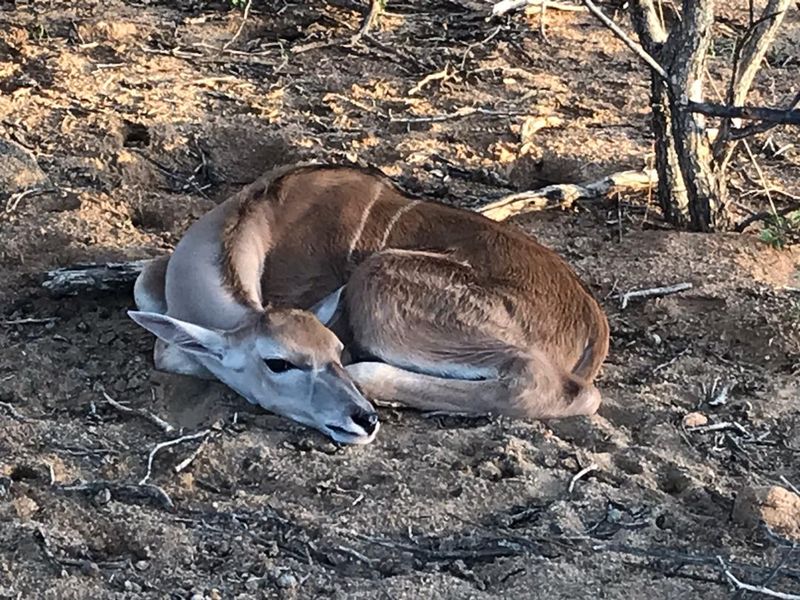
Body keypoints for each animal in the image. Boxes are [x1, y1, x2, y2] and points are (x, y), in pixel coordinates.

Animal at [130, 164, 609, 445]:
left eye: (336, 350)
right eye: (279, 363)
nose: (362, 419)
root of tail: (592, 325)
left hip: (377, 280)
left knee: (553, 385)